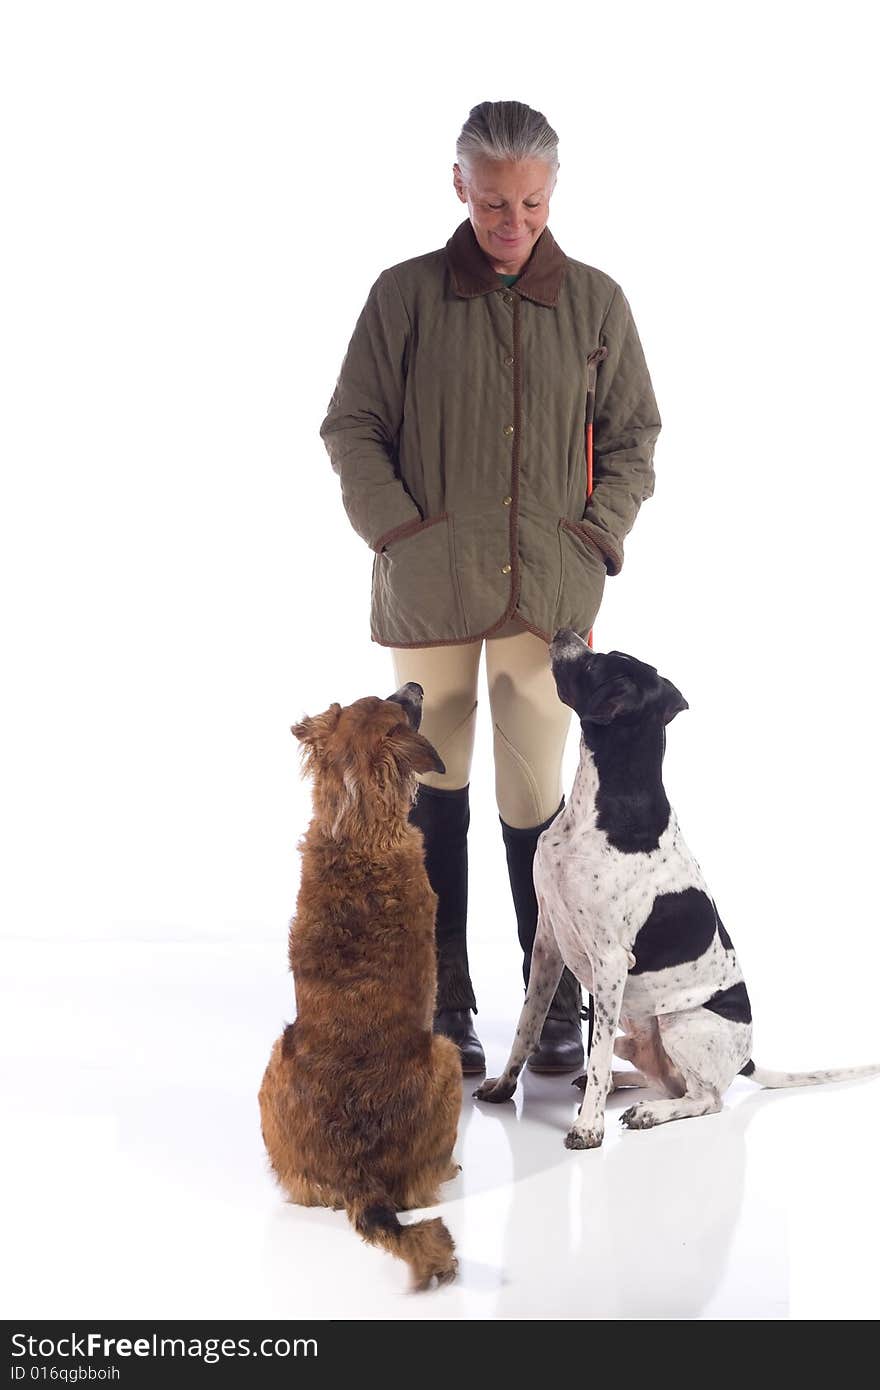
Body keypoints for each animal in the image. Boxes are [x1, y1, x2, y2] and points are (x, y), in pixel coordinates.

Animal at [255, 683, 458, 1289]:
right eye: (400, 706)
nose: (416, 686)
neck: (356, 827)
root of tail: (357, 1171)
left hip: (273, 1060)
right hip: (448, 1056)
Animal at [478, 633, 873, 1150]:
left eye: (599, 663)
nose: (564, 634)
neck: (605, 804)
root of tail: (746, 1058)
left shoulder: (609, 961)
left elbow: (597, 1051)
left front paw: (588, 1127)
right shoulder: (548, 943)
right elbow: (528, 1029)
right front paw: (505, 1087)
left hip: (682, 1024)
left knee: (703, 1098)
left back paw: (647, 1111)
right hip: (641, 1030)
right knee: (655, 1075)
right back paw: (620, 1087)